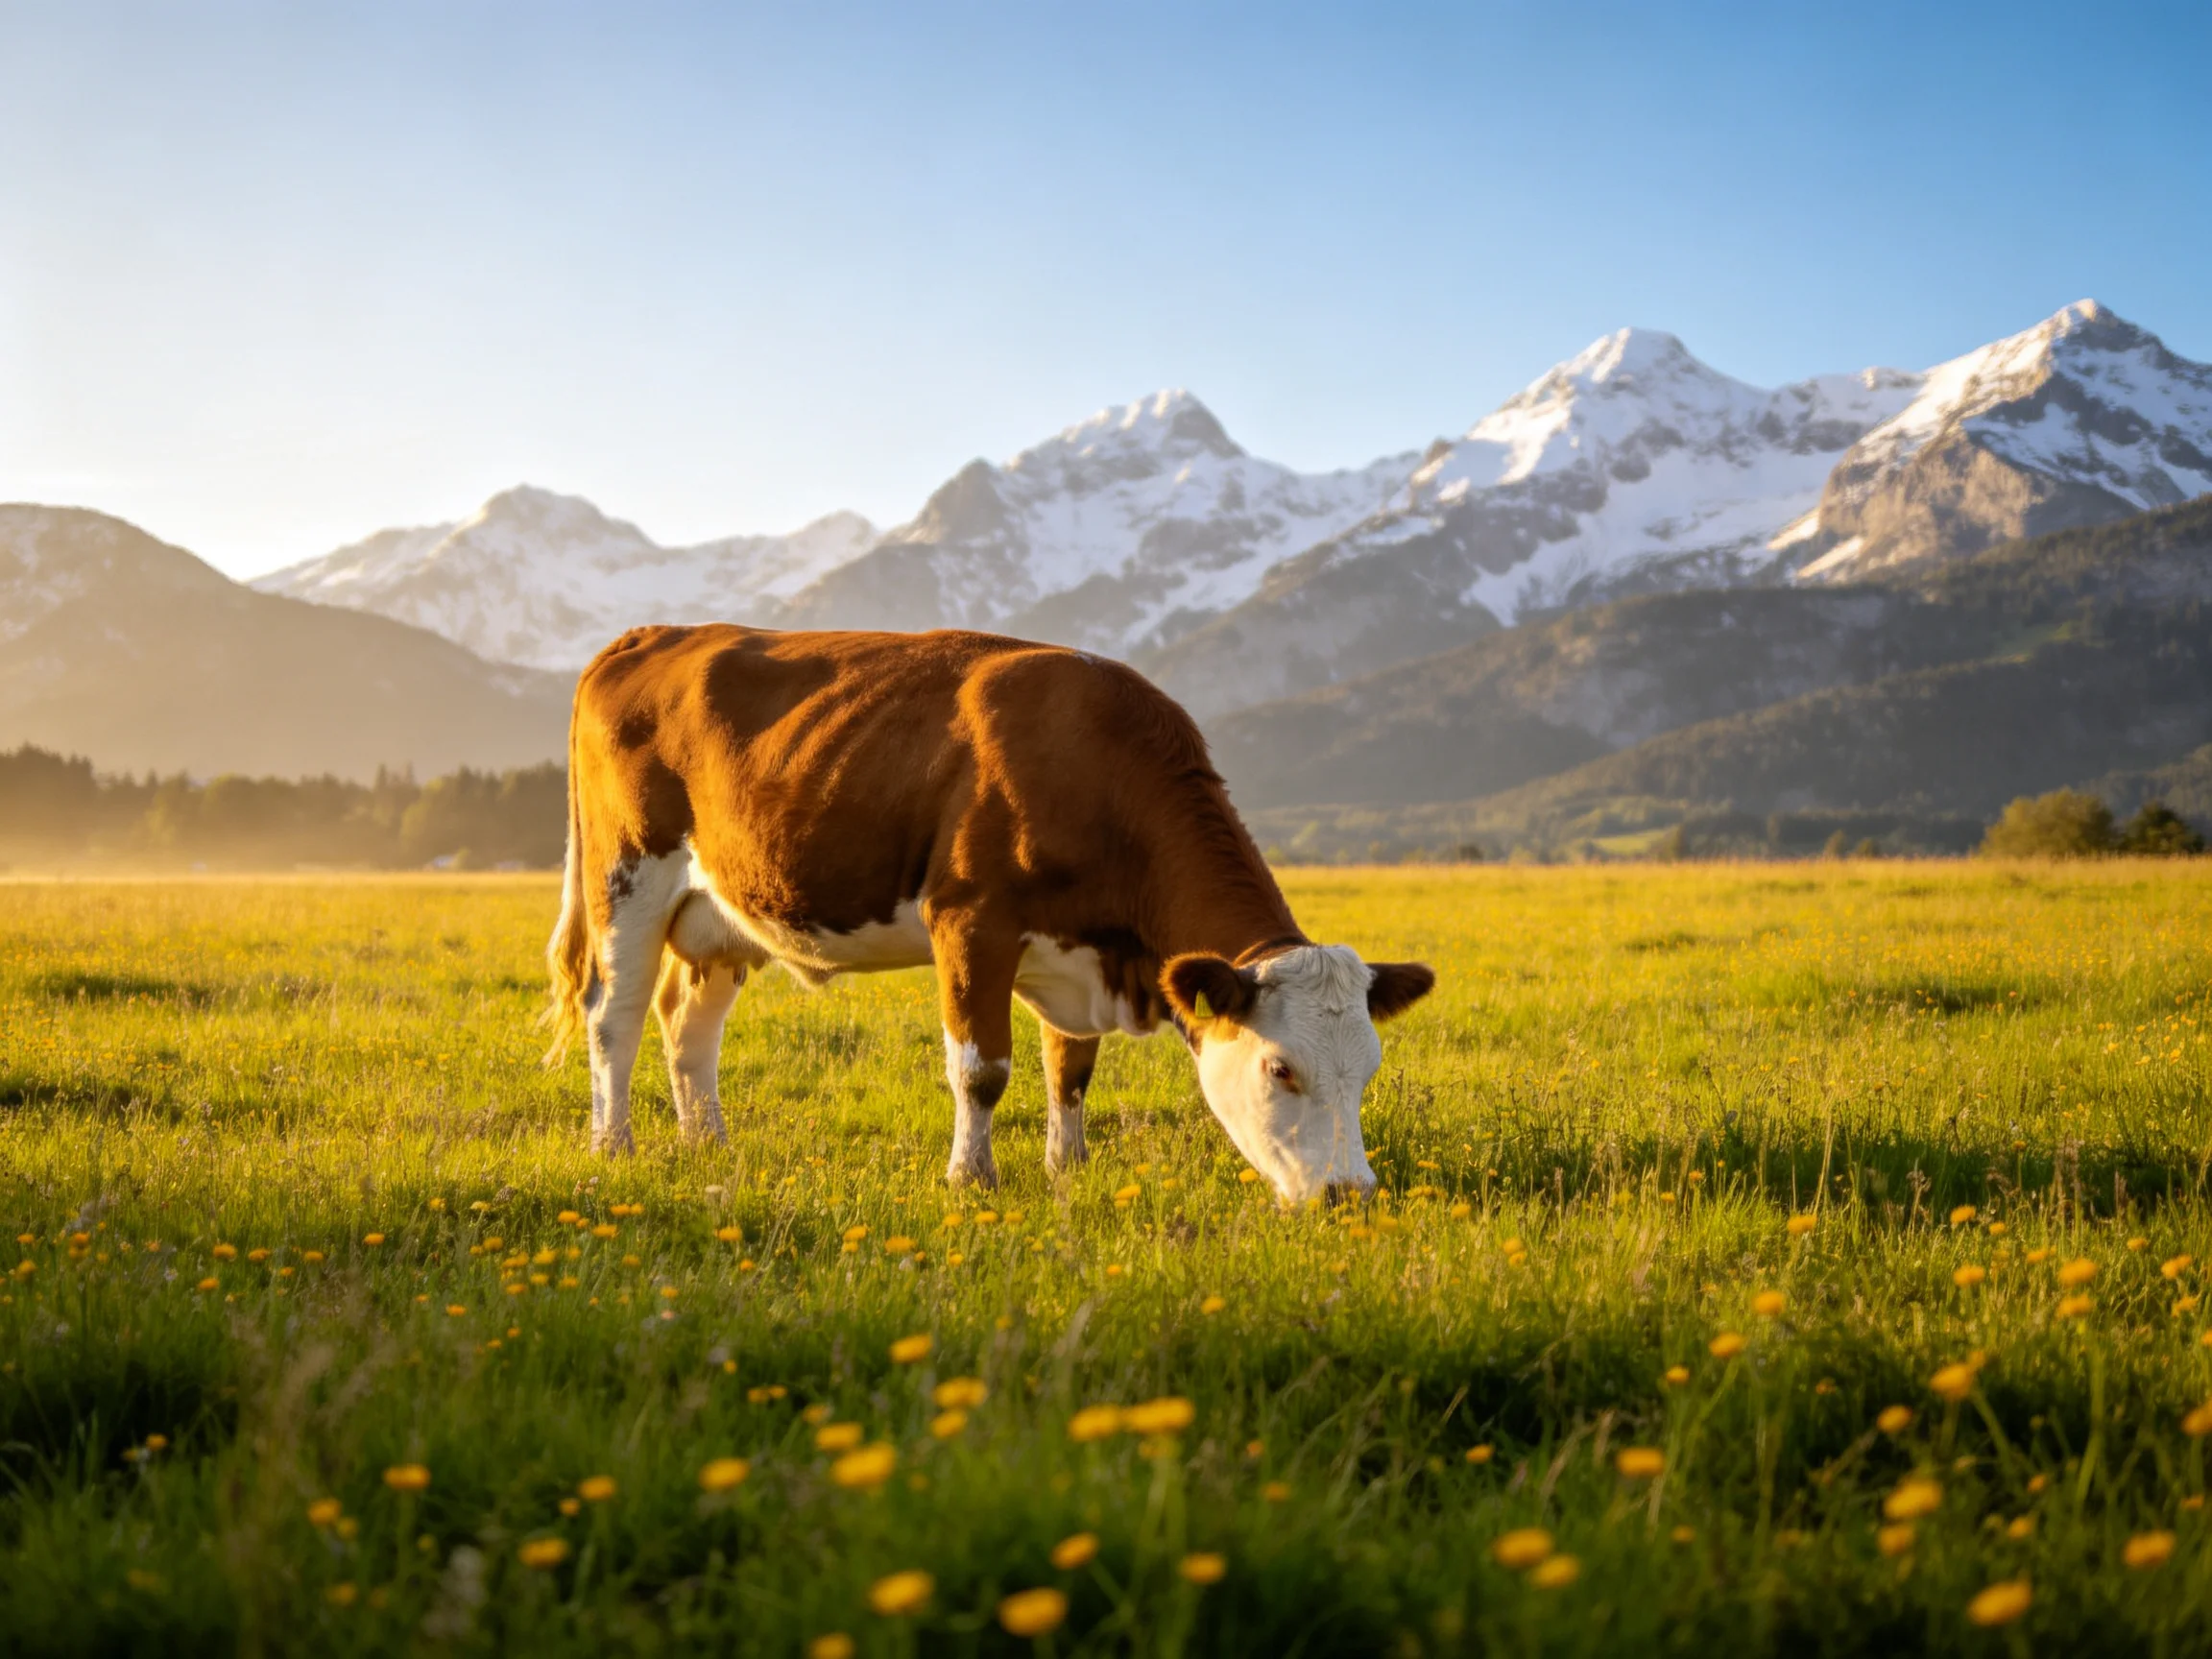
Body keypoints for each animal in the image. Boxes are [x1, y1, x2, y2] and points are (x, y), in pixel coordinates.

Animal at [542, 626, 1433, 1204]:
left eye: (1370, 1069)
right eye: (1282, 1069)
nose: (1353, 1193)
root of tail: (651, 635)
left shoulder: (1075, 949)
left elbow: (1070, 1068)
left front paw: (1067, 1169)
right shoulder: (971, 921)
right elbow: (982, 1068)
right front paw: (973, 1179)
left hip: (723, 910)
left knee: (687, 1024)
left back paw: (708, 1144)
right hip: (627, 877)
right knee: (614, 1014)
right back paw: (613, 1146)